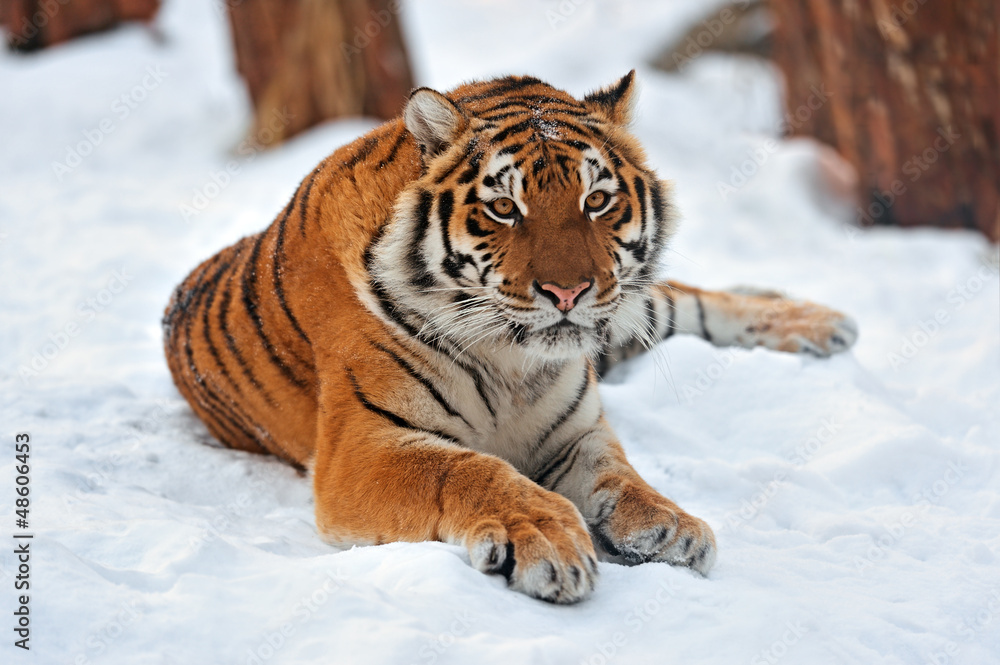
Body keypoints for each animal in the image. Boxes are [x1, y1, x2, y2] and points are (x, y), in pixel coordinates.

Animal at [163, 72, 857, 603]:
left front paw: (670, 524)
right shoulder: (363, 447)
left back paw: (819, 321)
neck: (514, 363)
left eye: (596, 200)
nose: (568, 293)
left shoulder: (577, 430)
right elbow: (469, 469)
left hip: (629, 306)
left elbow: (621, 477)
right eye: (504, 208)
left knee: (684, 298)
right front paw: (547, 539)